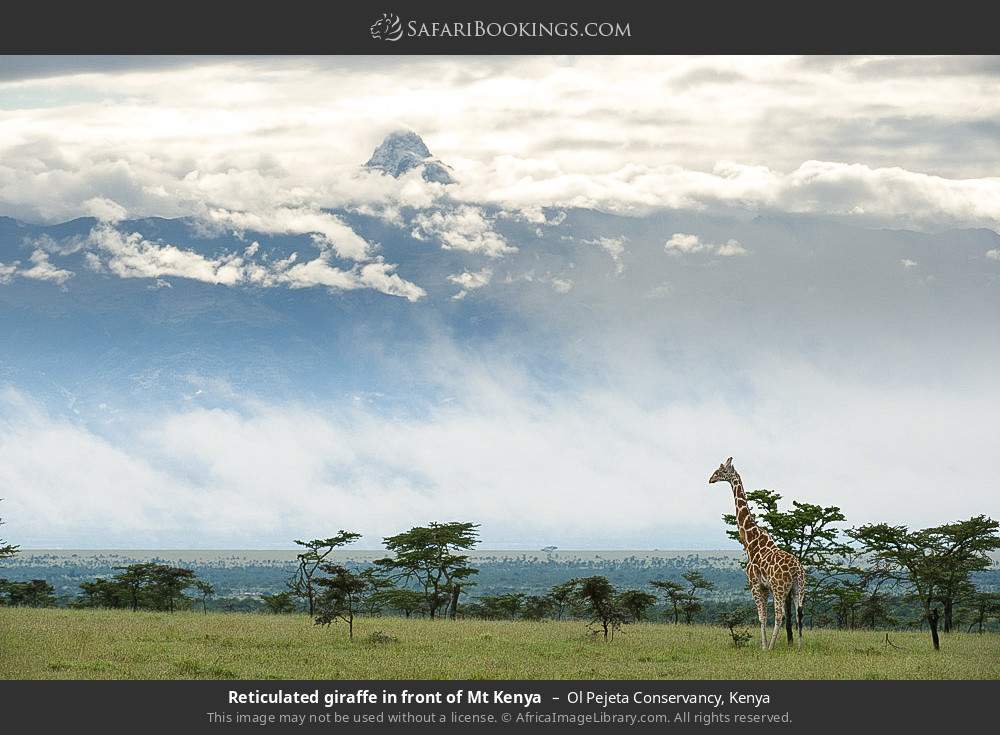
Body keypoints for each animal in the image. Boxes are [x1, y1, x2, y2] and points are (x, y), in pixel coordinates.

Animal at [709, 457, 806, 650]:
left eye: (720, 470)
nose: (710, 479)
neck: (750, 542)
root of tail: (797, 570)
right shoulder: (765, 587)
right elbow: (764, 616)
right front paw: (765, 644)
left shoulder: (755, 584)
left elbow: (761, 616)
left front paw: (764, 647)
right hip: (799, 588)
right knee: (799, 613)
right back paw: (799, 647)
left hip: (780, 587)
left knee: (781, 615)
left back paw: (772, 647)